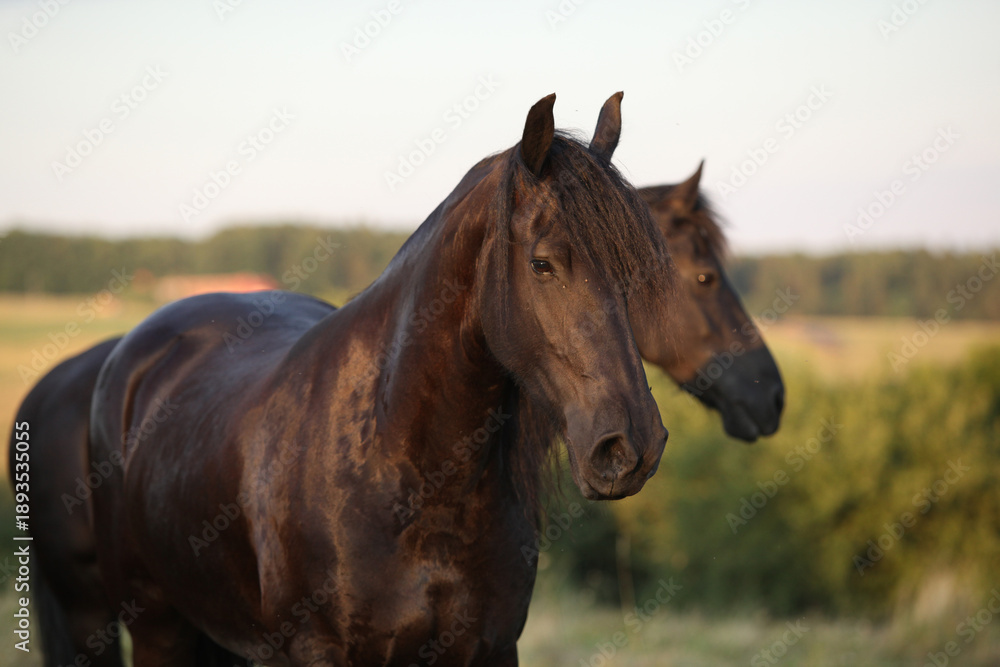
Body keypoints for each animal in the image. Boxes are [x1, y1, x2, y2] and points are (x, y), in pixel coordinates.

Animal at [11, 94, 784, 666]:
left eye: (640, 274)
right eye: (543, 263)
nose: (632, 446)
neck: (405, 468)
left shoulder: (488, 648)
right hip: (137, 625)